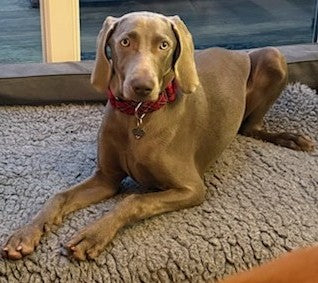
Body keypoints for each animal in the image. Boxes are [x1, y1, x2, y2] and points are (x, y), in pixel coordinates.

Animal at [1, 12, 316, 262]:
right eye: (125, 41)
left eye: (164, 45)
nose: (142, 87)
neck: (137, 116)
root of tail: (235, 51)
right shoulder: (106, 179)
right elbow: (59, 196)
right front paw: (25, 234)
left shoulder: (192, 188)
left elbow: (133, 201)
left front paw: (92, 235)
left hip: (273, 56)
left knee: (252, 128)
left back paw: (291, 139)